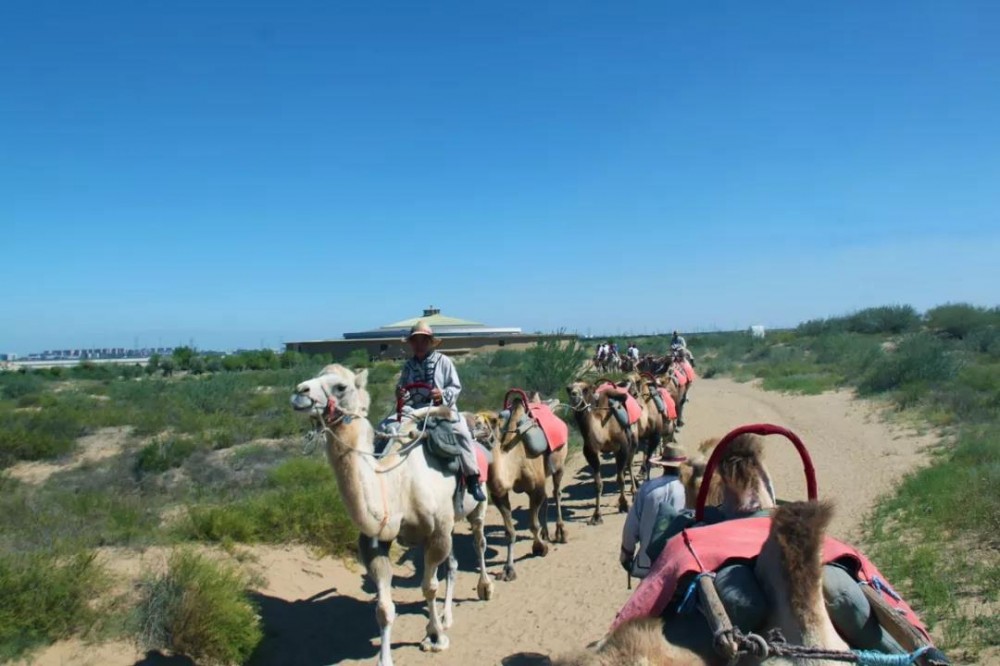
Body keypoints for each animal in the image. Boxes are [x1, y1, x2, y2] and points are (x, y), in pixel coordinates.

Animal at [290, 364, 492, 664]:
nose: (299, 392)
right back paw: (447, 616)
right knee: (453, 564)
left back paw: (484, 587)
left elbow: (429, 586)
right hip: (451, 522)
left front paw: (435, 638)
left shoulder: (436, 533)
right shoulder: (376, 542)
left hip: (478, 506)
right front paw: (388, 657)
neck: (398, 483)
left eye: (341, 386)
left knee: (479, 540)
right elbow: (384, 607)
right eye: (316, 376)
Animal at [472, 390, 568, 580]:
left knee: (556, 492)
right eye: (473, 421)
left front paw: (540, 548)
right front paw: (508, 570)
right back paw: (546, 533)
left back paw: (560, 532)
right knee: (547, 497)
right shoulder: (500, 494)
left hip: (559, 462)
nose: (474, 431)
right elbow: (510, 532)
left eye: (490, 422)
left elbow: (533, 524)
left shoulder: (535, 489)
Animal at [568, 378, 636, 524]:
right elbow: (598, 484)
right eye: (568, 388)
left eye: (585, 389)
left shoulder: (622, 448)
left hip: (632, 440)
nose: (574, 395)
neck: (604, 430)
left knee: (629, 464)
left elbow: (620, 479)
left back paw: (635, 490)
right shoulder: (591, 453)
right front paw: (596, 515)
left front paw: (624, 505)